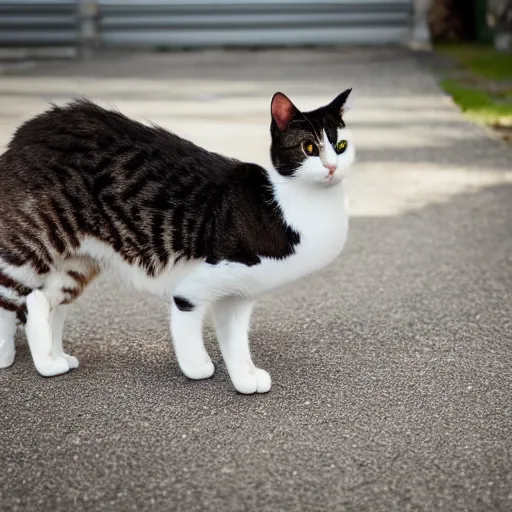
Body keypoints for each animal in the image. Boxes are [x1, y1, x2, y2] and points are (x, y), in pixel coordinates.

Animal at [0, 90, 354, 394]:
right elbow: (188, 328)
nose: (332, 167)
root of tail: (27, 129)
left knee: (43, 301)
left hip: (78, 263)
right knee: (18, 297)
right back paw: (19, 359)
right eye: (309, 148)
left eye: (341, 145)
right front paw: (197, 367)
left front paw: (245, 378)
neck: (289, 205)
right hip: (31, 243)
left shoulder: (238, 296)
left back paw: (53, 356)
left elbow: (235, 341)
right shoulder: (195, 286)